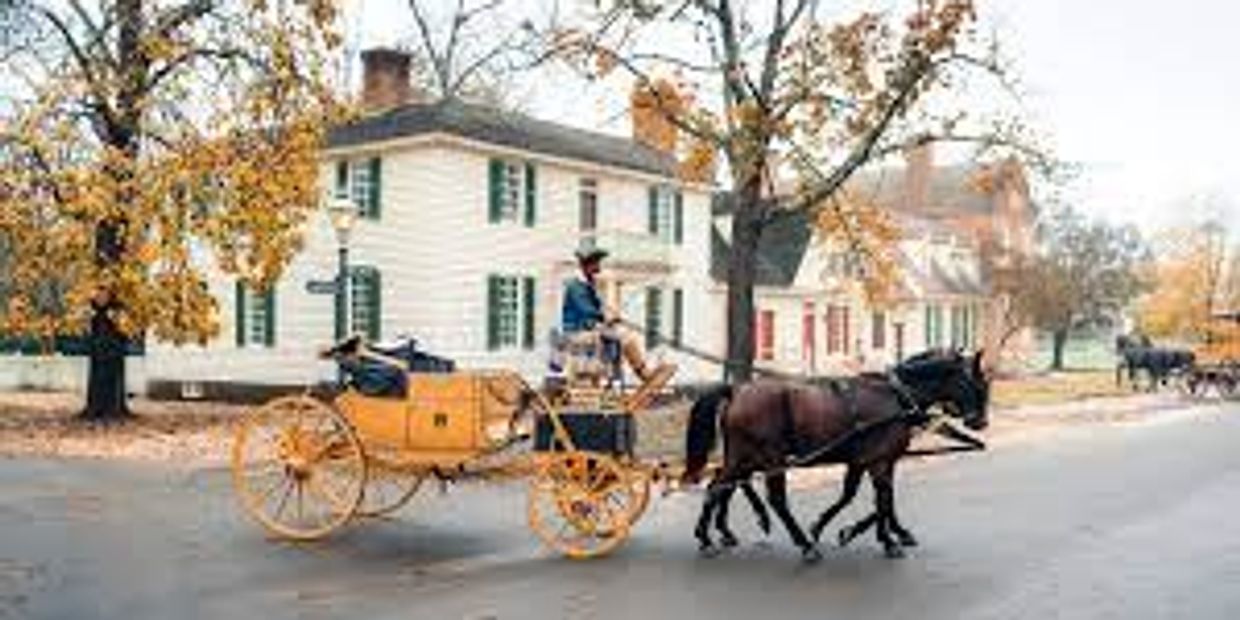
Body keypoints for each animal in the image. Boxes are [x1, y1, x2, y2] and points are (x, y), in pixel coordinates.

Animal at [684, 349, 992, 562]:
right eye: (978, 384)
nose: (981, 422)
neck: (897, 396)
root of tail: (736, 390)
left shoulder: (866, 461)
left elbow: (864, 497)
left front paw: (839, 528)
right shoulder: (878, 461)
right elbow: (882, 500)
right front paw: (885, 539)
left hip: (742, 456)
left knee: (719, 486)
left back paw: (709, 534)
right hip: (769, 457)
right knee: (771, 499)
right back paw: (802, 545)